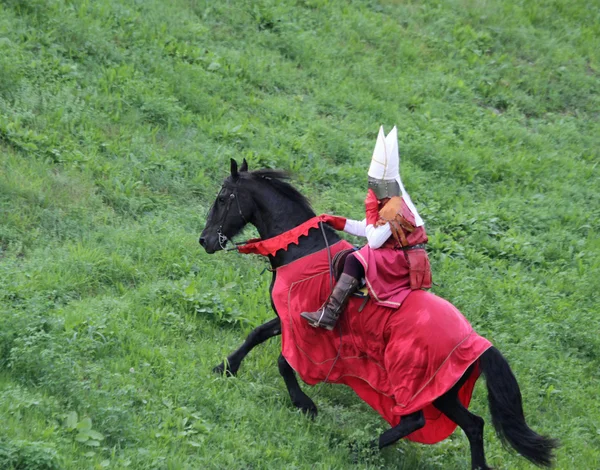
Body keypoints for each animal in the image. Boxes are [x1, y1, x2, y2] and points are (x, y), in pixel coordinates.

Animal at [198, 160, 556, 468]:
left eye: (222, 198)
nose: (205, 240)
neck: (301, 249)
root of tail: (477, 341)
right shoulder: (287, 317)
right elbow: (256, 334)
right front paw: (225, 367)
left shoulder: (304, 326)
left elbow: (284, 362)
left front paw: (305, 405)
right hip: (444, 392)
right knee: (474, 424)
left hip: (418, 384)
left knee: (415, 419)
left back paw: (360, 449)